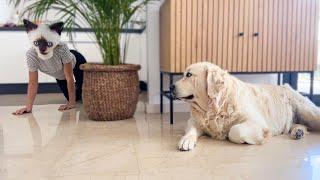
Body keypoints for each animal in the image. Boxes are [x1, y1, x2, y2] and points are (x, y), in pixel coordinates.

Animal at [172, 62, 320, 150]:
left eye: (189, 75)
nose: (170, 87)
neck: (216, 107)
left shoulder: (257, 122)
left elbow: (234, 130)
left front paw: (259, 138)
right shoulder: (196, 120)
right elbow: (191, 129)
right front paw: (186, 140)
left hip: (307, 111)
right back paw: (298, 132)